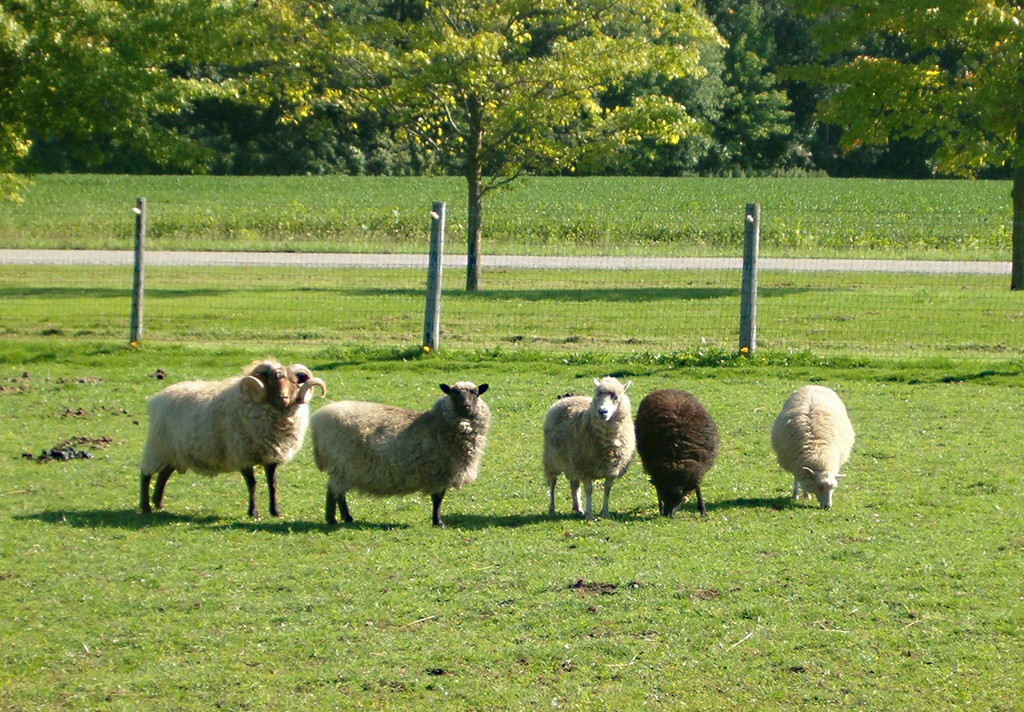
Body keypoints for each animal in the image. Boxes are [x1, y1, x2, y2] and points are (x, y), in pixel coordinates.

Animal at [138, 362, 325, 518]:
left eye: (294, 382)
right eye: (271, 381)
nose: (283, 398)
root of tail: (157, 398)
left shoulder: (271, 456)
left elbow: (272, 484)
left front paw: (275, 511)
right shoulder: (242, 454)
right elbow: (252, 484)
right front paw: (253, 512)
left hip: (173, 452)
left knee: (163, 474)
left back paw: (158, 503)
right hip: (157, 445)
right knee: (146, 474)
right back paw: (146, 506)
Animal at [309, 381, 489, 524]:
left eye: (475, 393)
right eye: (454, 393)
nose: (466, 406)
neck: (439, 424)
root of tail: (317, 419)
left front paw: (437, 521)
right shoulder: (439, 471)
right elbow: (437, 499)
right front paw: (438, 522)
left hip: (343, 468)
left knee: (339, 493)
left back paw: (346, 518)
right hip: (341, 464)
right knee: (334, 492)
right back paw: (333, 519)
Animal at [540, 377, 634, 520]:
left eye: (615, 396)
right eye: (597, 395)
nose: (602, 411)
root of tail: (566, 398)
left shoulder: (612, 469)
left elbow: (607, 489)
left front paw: (605, 513)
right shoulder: (586, 468)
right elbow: (589, 490)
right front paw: (590, 515)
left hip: (572, 461)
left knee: (574, 484)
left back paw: (578, 508)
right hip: (551, 459)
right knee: (553, 483)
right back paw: (552, 509)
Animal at [630, 389, 720, 518]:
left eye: (681, 499)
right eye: (663, 495)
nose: (669, 515)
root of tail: (665, 389)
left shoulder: (698, 468)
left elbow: (697, 487)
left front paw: (703, 511)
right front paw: (661, 508)